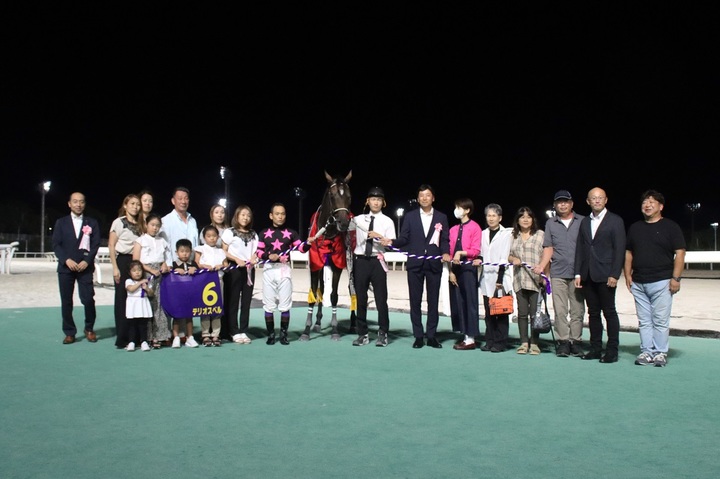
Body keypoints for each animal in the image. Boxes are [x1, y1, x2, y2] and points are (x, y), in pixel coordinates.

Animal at [299, 170, 356, 341]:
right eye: (332, 195)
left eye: (349, 195)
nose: (343, 223)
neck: (327, 232)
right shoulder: (315, 264)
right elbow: (314, 293)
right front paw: (307, 330)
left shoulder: (337, 264)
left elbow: (334, 296)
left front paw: (335, 329)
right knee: (322, 289)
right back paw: (317, 322)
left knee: (352, 289)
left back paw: (353, 324)